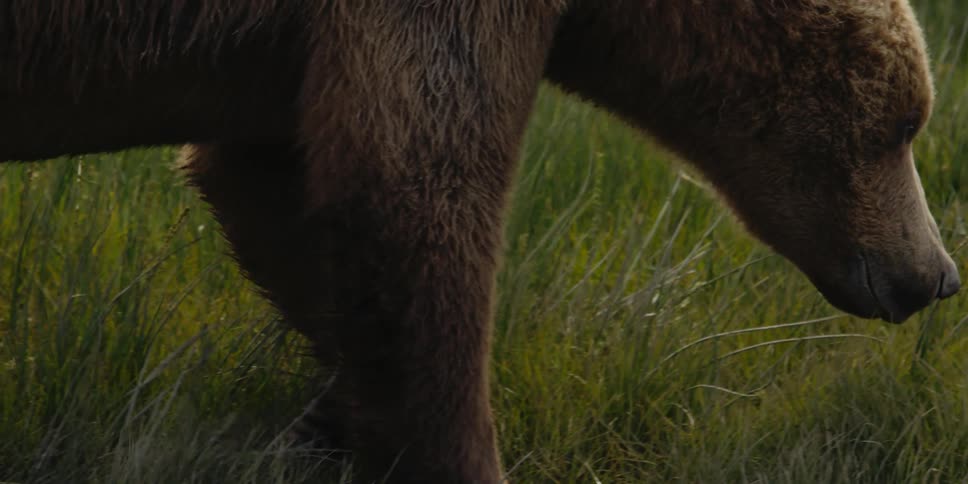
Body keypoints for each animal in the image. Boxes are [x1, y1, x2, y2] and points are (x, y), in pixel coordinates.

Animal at [0, 0, 959, 482]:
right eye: (905, 123)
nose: (937, 274)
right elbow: (412, 193)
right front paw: (455, 452)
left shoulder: (291, 68)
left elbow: (272, 183)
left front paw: (329, 419)